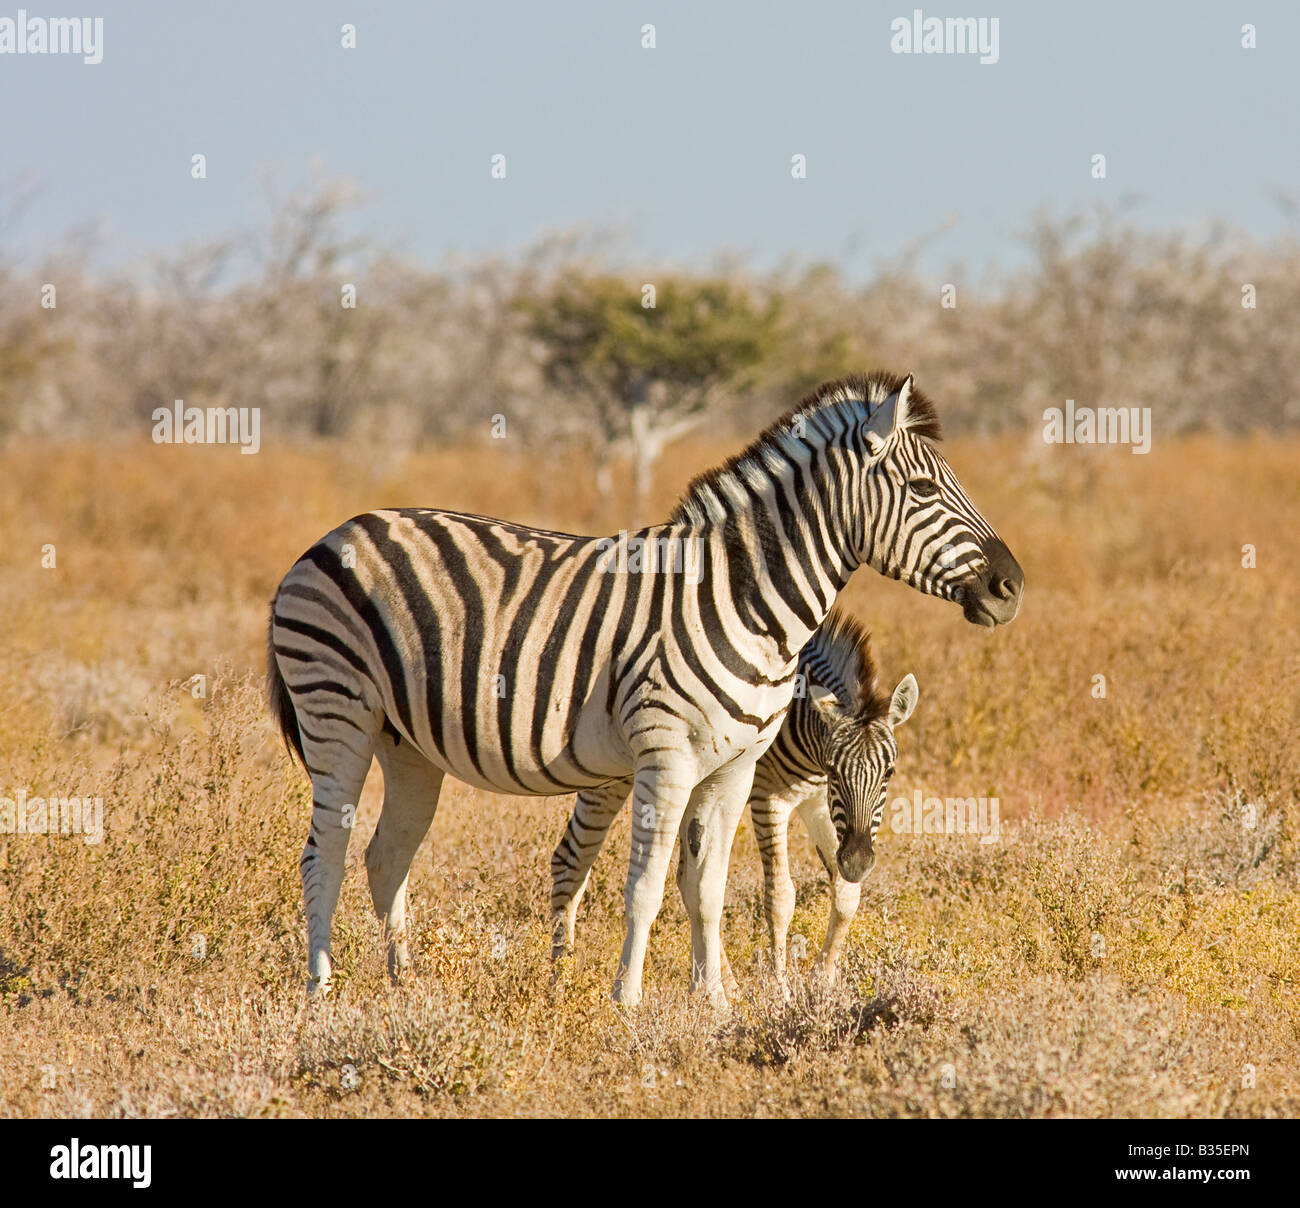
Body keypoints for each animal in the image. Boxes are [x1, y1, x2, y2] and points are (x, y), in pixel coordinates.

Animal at [550, 608, 916, 989]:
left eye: (889, 773)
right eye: (834, 767)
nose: (859, 861)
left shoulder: (818, 801)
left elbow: (846, 894)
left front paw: (823, 980)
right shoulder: (769, 796)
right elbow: (780, 897)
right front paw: (780, 988)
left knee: (688, 880)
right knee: (570, 857)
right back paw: (562, 981)